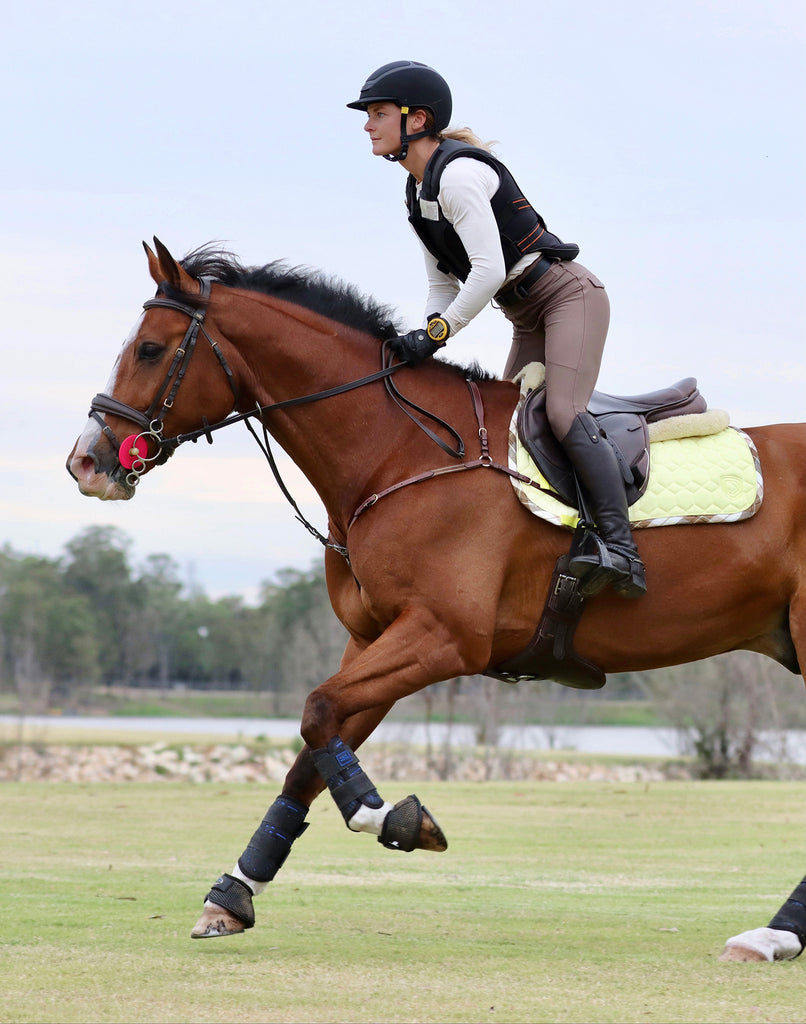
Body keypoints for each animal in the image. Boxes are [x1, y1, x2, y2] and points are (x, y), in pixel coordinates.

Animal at [66, 237, 802, 958]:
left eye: (150, 348)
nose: (85, 462)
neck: (398, 454)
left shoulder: (443, 637)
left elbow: (317, 711)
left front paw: (390, 818)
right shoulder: (376, 639)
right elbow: (313, 747)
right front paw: (233, 895)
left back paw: (772, 934)